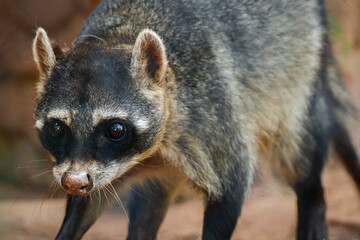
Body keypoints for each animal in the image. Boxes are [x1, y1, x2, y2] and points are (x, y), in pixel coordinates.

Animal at [31, 0, 360, 240]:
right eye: (57, 128)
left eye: (115, 129)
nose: (73, 182)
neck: (118, 36)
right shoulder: (96, 167)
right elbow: (87, 203)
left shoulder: (211, 114)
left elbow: (230, 185)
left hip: (297, 75)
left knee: (298, 153)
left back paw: (312, 198)